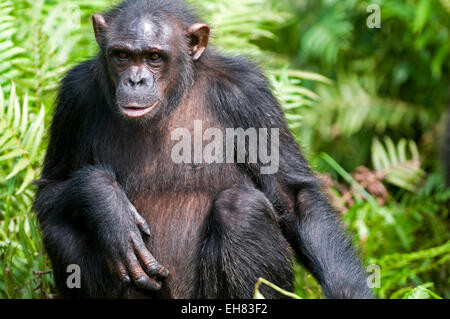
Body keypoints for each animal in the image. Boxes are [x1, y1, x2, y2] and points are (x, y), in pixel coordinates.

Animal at [33, 0, 372, 300]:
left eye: (154, 57)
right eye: (121, 55)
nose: (136, 80)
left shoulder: (249, 93)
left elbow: (292, 196)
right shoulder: (74, 96)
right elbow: (51, 188)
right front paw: (108, 205)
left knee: (241, 208)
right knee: (60, 225)